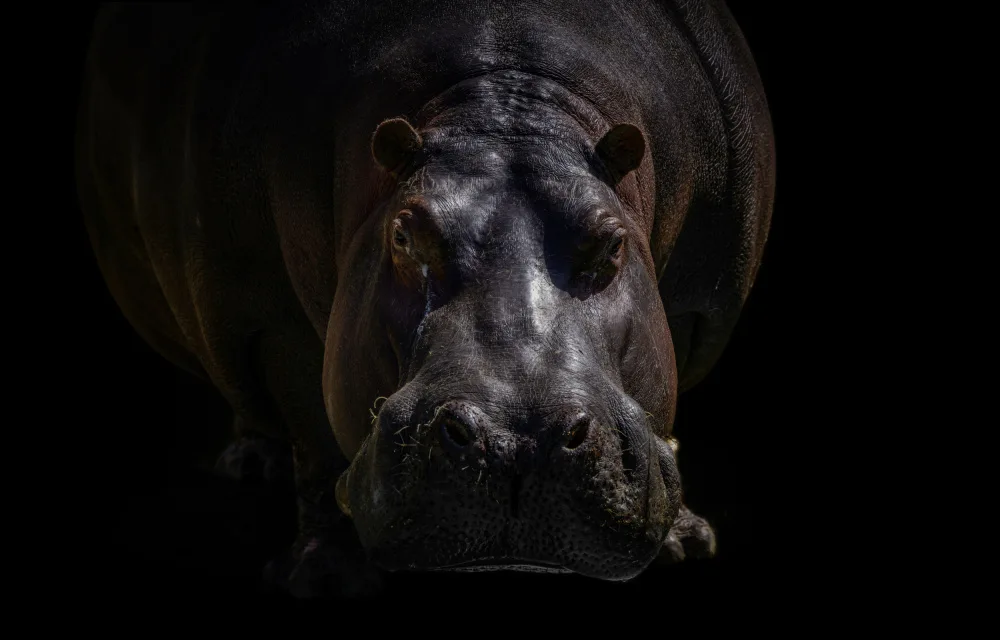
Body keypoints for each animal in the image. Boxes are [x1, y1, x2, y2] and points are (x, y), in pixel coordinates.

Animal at [76, 0, 774, 596]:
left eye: (612, 243)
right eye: (404, 234)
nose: (518, 440)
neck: (504, 96)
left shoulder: (694, 301)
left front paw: (684, 545)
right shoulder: (270, 319)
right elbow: (312, 429)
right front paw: (326, 578)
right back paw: (248, 462)